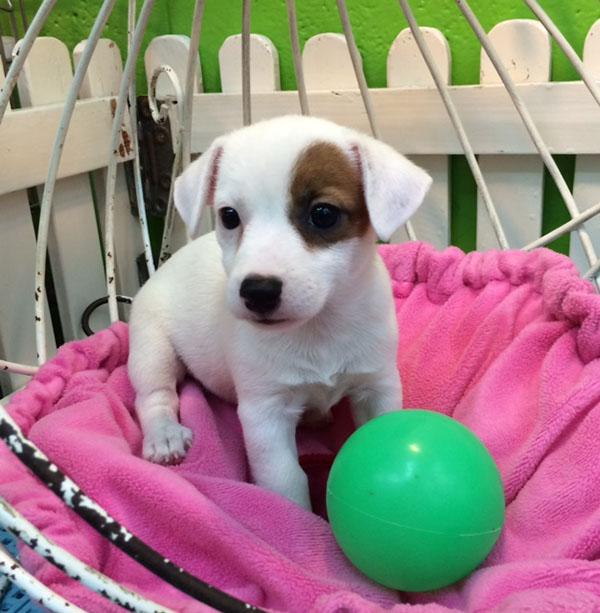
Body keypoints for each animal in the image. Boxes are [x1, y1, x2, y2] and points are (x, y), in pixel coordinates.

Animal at [128, 115, 431, 510]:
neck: (319, 327)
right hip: (152, 346)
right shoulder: (265, 412)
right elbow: (285, 478)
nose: (258, 291)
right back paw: (164, 434)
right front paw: (296, 517)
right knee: (154, 394)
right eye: (229, 216)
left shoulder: (377, 384)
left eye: (323, 214)